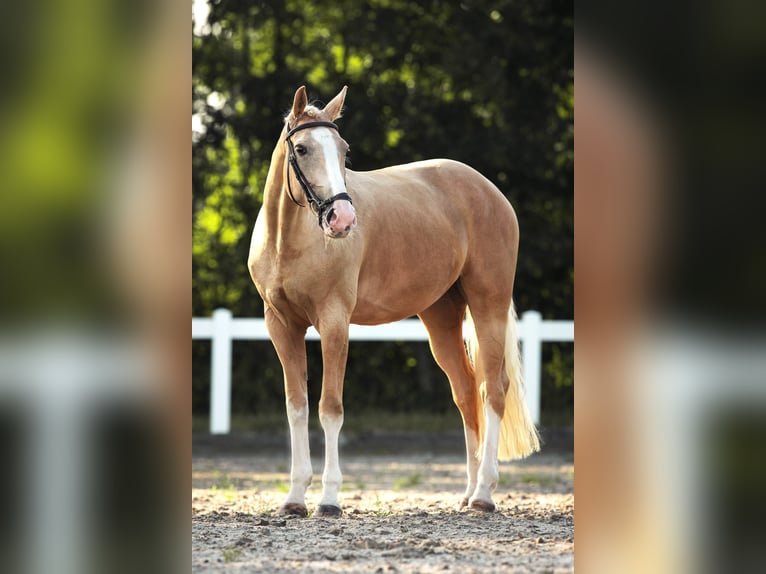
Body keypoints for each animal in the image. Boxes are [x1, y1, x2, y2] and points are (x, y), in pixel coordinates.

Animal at [250, 86, 540, 520]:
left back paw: (484, 495)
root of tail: (490, 190)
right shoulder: (281, 326)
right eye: (301, 148)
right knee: (466, 391)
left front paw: (329, 500)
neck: (289, 240)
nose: (342, 220)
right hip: (441, 317)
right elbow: (296, 407)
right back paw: (467, 494)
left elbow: (329, 408)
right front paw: (294, 499)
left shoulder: (334, 323)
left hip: (488, 304)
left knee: (494, 389)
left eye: (343, 149)